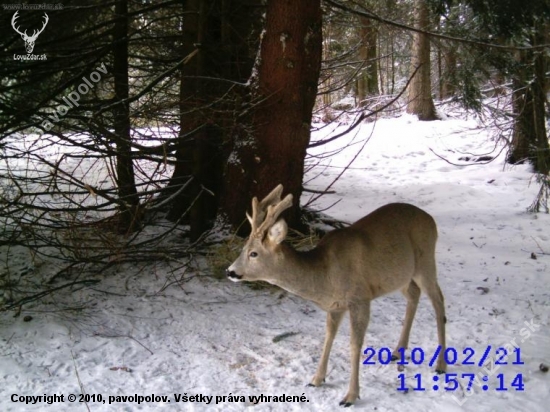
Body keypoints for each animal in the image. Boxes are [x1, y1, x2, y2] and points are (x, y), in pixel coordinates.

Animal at [226, 185, 446, 408]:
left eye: (253, 253)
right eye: (243, 249)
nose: (230, 271)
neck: (325, 277)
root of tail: (431, 219)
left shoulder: (360, 298)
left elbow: (355, 345)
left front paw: (350, 396)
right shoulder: (335, 305)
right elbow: (329, 335)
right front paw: (316, 379)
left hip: (425, 261)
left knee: (438, 299)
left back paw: (441, 365)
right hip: (401, 276)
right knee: (414, 294)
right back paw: (397, 352)